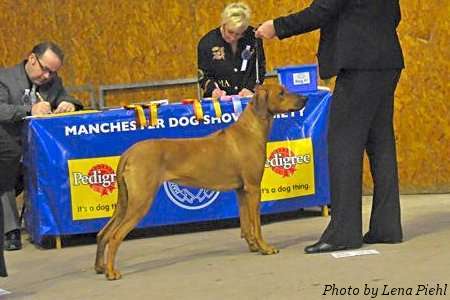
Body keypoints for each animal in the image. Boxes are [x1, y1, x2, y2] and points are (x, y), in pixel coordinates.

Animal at [94, 84, 306, 278]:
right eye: (281, 93)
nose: (305, 98)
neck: (250, 130)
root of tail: (128, 153)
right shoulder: (253, 188)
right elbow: (257, 224)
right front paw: (265, 247)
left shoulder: (241, 190)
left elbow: (246, 224)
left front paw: (253, 246)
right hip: (141, 201)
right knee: (115, 236)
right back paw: (111, 272)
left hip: (125, 202)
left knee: (103, 233)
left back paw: (100, 267)